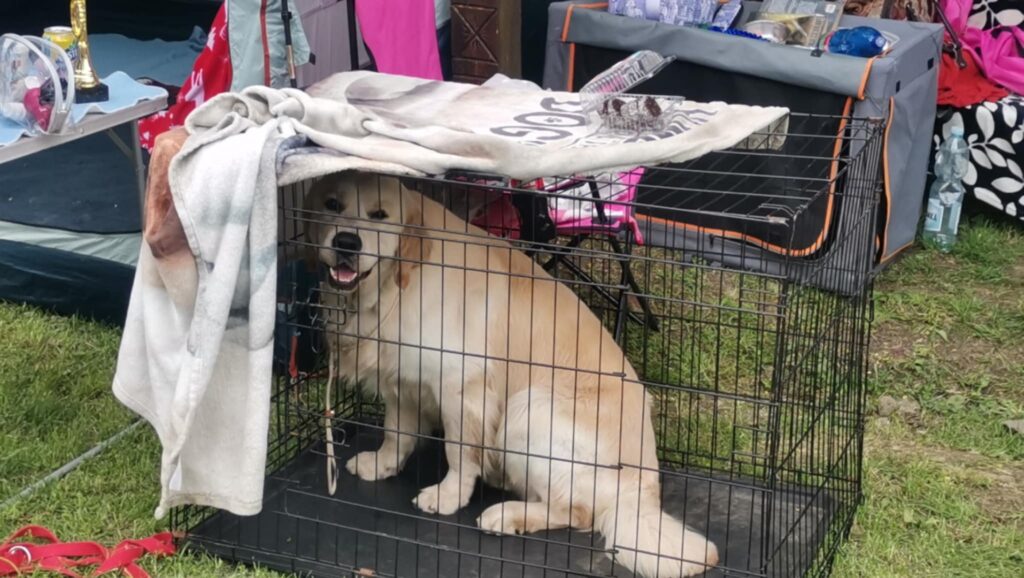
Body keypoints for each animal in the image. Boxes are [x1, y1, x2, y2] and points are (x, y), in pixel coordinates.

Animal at [303, 171, 718, 577]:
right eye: (332, 204)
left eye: (380, 215)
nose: (347, 242)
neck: (393, 285)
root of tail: (643, 488)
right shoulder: (402, 375)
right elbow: (397, 430)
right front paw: (383, 462)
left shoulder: (462, 385)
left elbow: (459, 451)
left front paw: (448, 495)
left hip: (531, 409)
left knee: (577, 510)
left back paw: (508, 515)